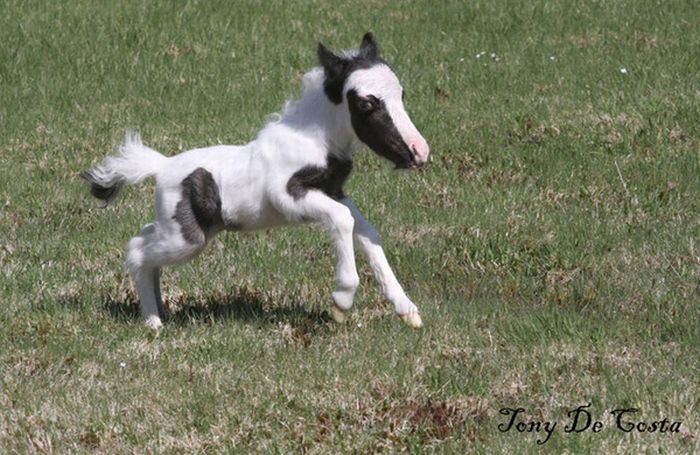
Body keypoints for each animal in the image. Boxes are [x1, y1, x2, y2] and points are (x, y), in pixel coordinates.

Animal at [85, 33, 430, 330]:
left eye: (401, 94)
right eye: (365, 104)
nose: (419, 152)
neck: (313, 140)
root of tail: (163, 165)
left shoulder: (335, 192)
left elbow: (366, 232)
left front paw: (407, 310)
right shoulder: (288, 195)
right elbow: (343, 221)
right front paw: (341, 302)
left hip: (183, 228)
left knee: (145, 237)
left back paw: (159, 310)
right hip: (187, 239)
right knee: (137, 250)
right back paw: (153, 322)